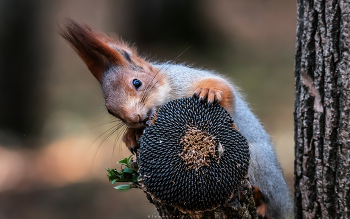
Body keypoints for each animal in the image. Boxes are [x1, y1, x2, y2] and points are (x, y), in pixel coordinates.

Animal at [60, 19, 292, 218]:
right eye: (110, 111)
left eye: (137, 83)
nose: (134, 117)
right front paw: (132, 135)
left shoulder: (186, 79)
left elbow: (224, 89)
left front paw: (209, 91)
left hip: (260, 164)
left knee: (269, 200)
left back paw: (260, 201)